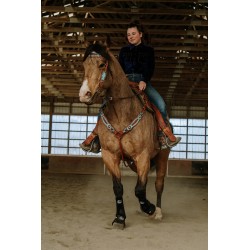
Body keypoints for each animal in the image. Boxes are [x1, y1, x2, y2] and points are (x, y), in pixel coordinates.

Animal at [79, 43, 171, 229]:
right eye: (84, 66)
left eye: (101, 64)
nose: (84, 94)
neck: (121, 114)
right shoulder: (110, 155)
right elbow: (119, 188)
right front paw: (120, 217)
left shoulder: (142, 156)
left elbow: (139, 189)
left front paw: (149, 208)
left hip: (162, 157)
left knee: (158, 184)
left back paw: (157, 212)